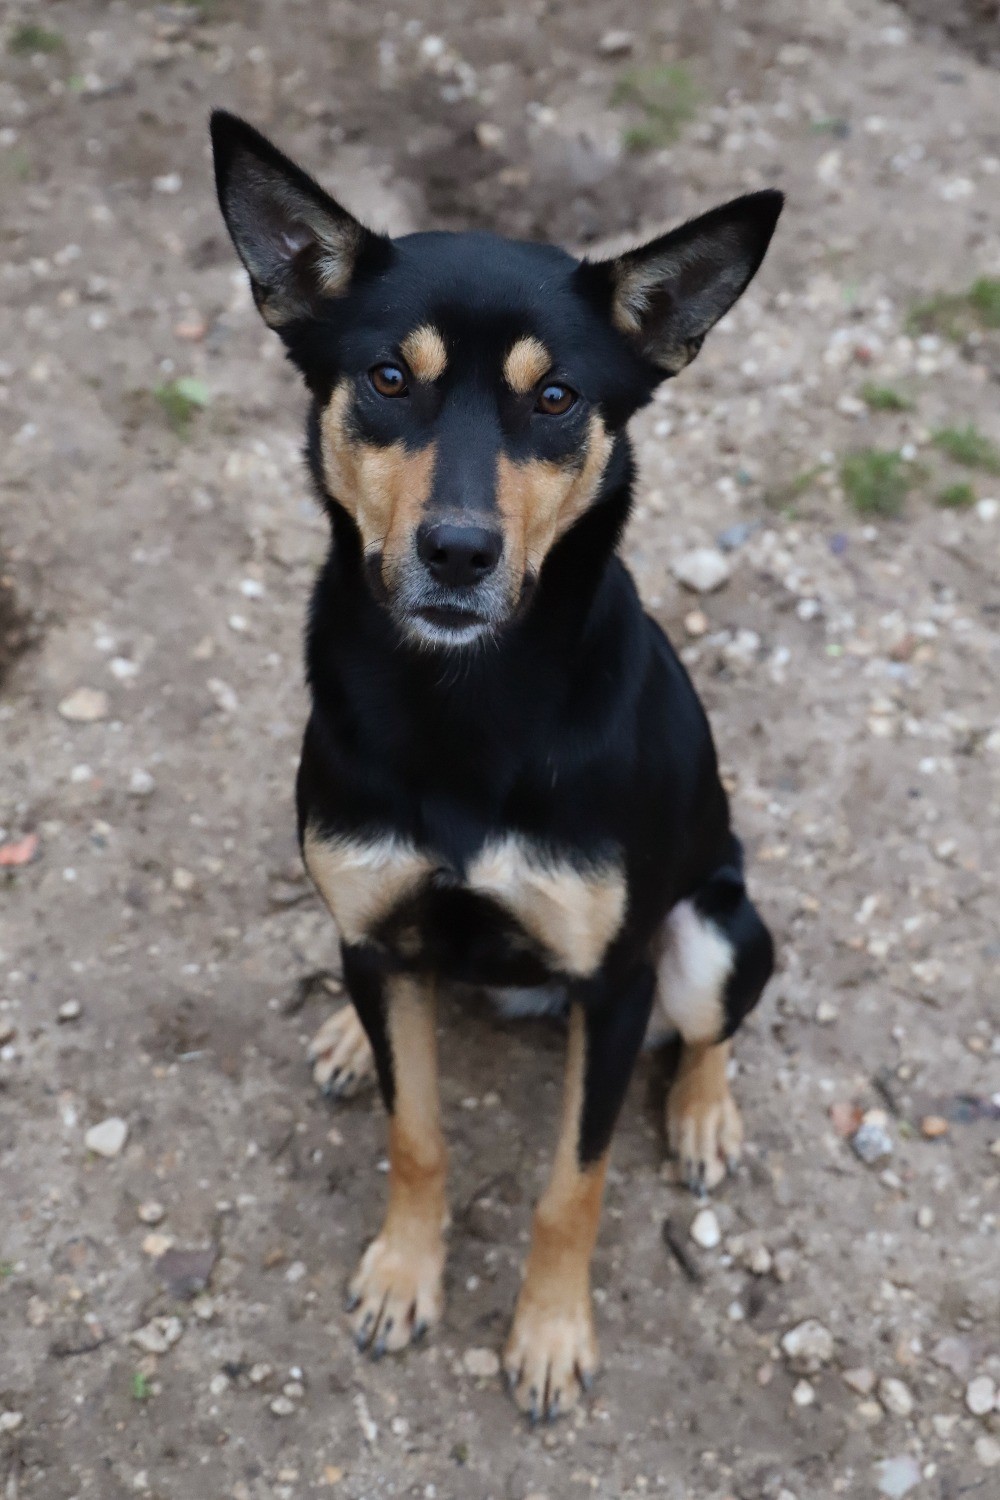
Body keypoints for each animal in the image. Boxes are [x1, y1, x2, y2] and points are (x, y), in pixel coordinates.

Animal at [211, 111, 779, 1422]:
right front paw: (401, 1275)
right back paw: (344, 1033)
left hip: (714, 933)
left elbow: (573, 1183)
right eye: (387, 378)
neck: (461, 702)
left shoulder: (615, 986)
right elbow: (414, 1133)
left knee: (710, 1024)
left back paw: (704, 1115)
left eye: (556, 397)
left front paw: (551, 1334)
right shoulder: (377, 917)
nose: (459, 553)